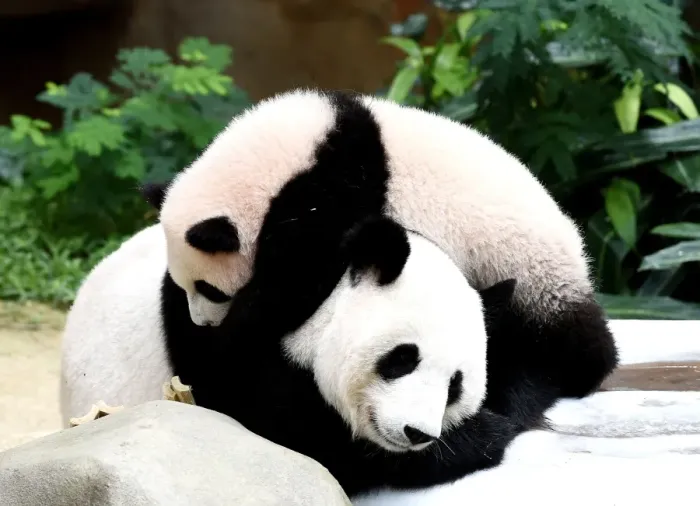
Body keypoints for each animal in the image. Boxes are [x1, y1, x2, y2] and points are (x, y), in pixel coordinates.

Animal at [142, 87, 619, 431]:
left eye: (209, 289)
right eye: (191, 288)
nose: (204, 323)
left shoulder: (334, 195)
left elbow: (295, 280)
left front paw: (237, 330)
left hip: (529, 273)